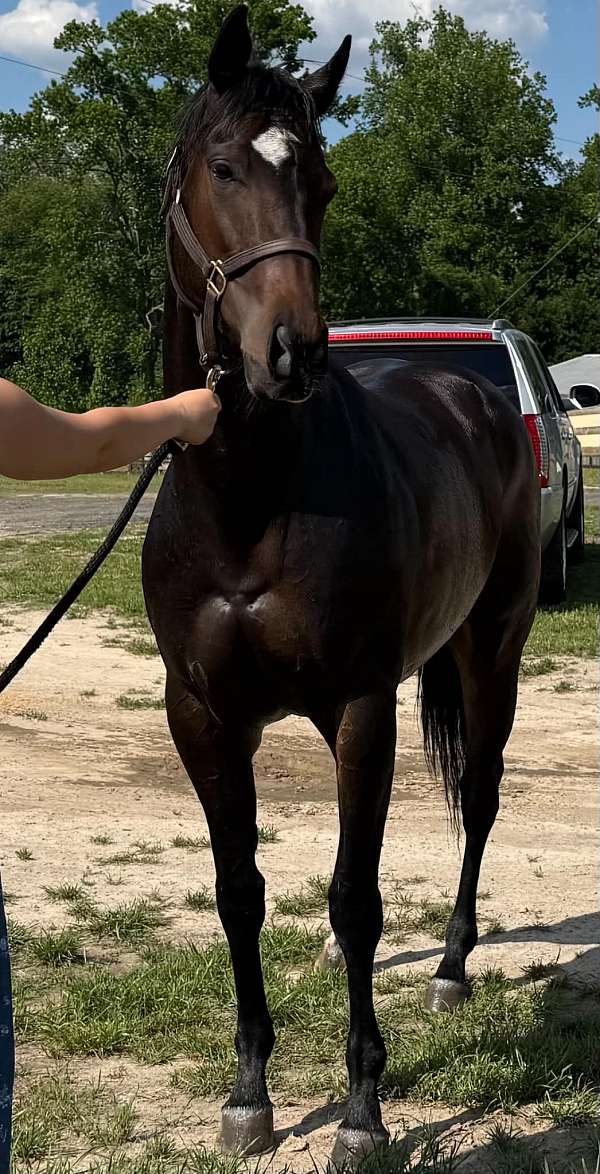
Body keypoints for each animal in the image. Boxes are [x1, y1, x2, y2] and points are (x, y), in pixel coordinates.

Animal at [142, 6, 540, 1165]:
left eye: (321, 181)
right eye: (223, 166)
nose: (293, 352)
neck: (249, 502)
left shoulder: (360, 707)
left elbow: (358, 898)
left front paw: (363, 1108)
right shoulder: (202, 717)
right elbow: (239, 893)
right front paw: (249, 1093)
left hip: (493, 648)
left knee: (479, 796)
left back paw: (451, 969)